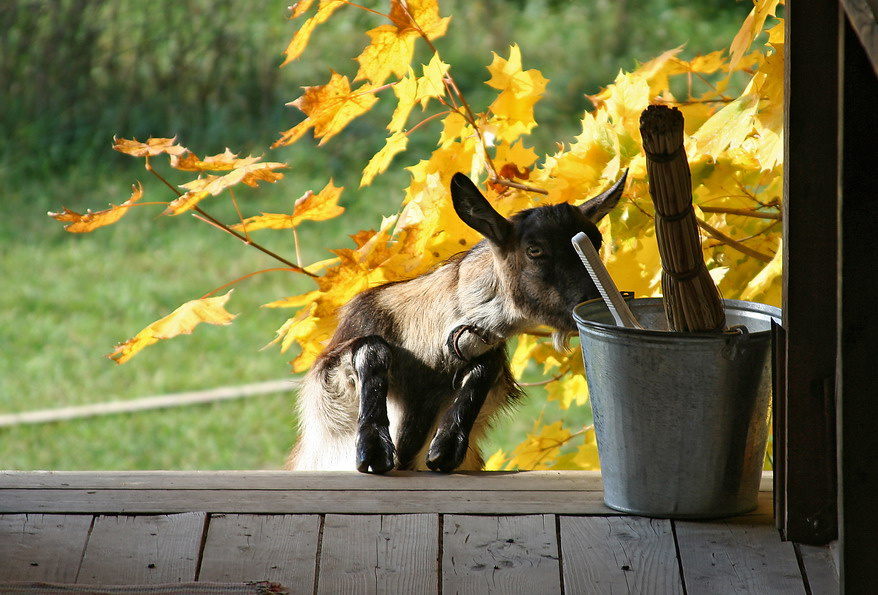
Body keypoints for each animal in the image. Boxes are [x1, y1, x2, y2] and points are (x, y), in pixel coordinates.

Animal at [286, 171, 627, 473]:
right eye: (535, 249)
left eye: (596, 242)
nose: (599, 300)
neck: (427, 346)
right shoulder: (330, 373)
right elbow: (372, 347)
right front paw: (373, 451)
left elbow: (485, 368)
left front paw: (445, 448)